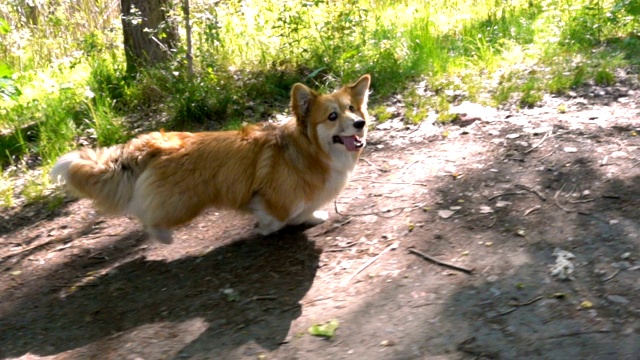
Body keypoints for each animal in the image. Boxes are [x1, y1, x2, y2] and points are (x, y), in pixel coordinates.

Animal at [50, 74, 370, 243]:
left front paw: (312, 217)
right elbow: (277, 218)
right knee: (147, 216)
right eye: (332, 116)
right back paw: (163, 237)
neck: (310, 150)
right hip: (182, 204)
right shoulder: (269, 197)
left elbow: (304, 211)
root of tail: (153, 144)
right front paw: (265, 228)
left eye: (353, 108)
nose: (360, 124)